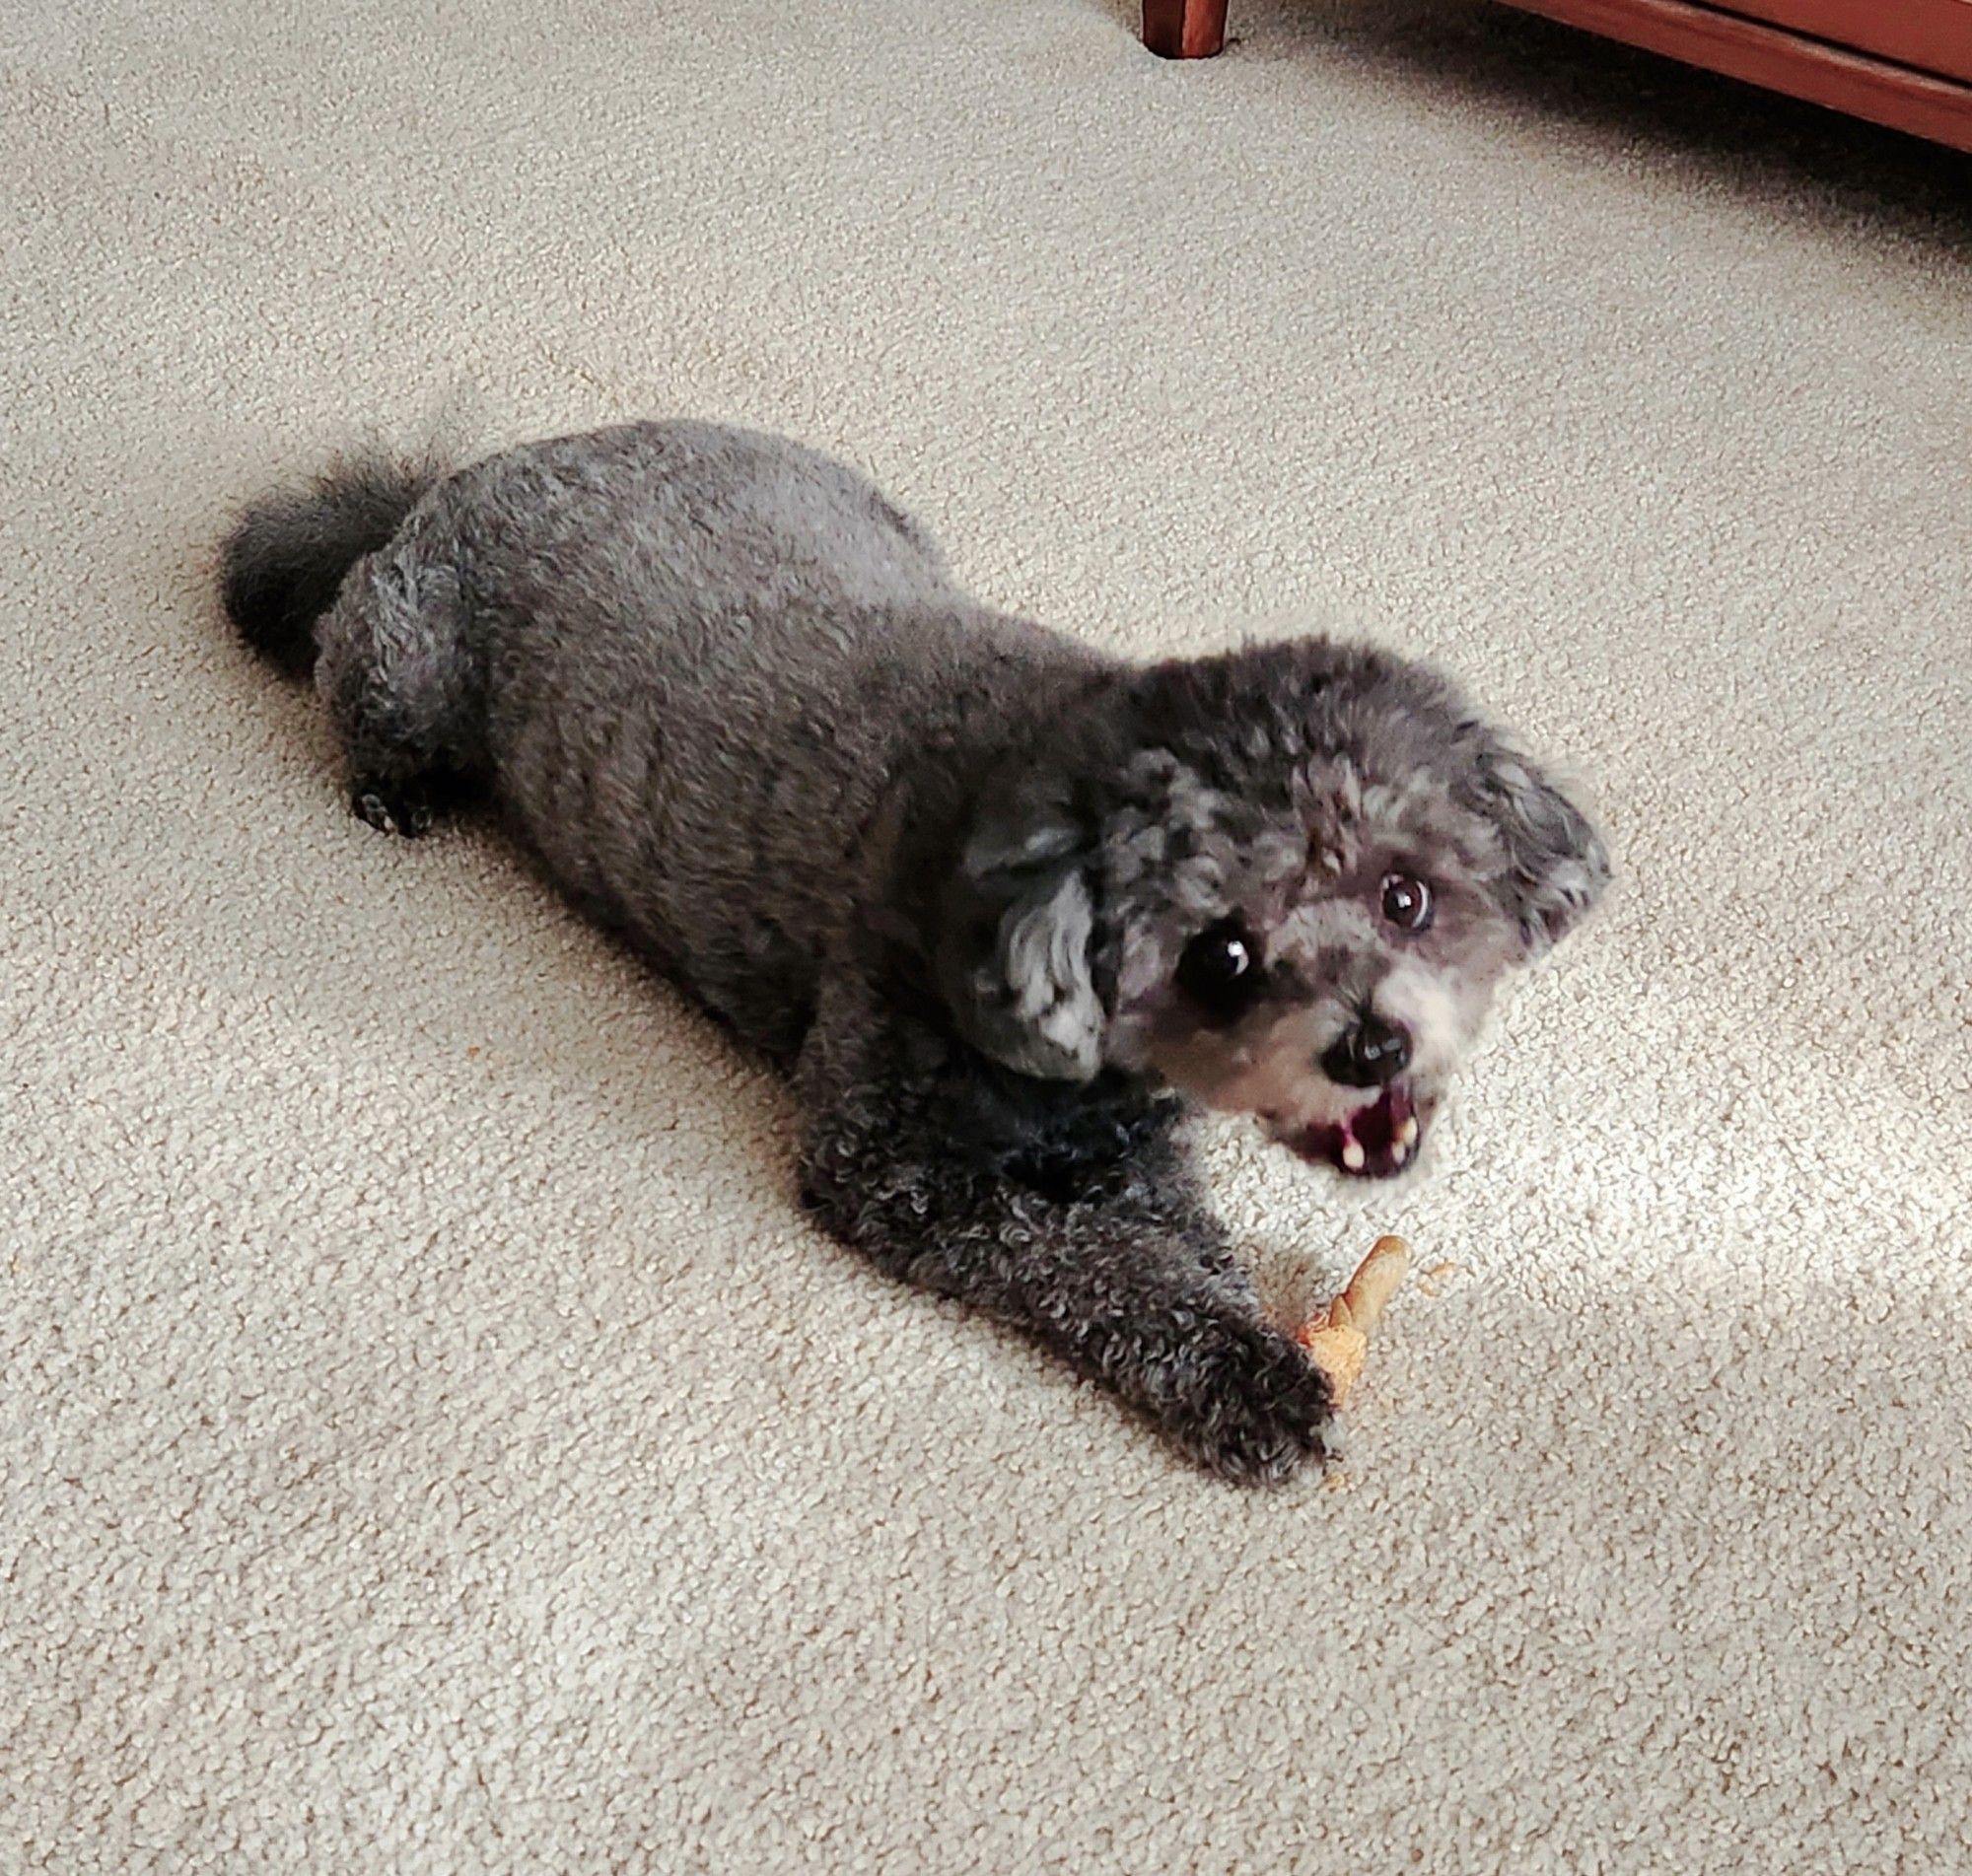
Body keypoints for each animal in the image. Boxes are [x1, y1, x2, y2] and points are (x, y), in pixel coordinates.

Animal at [224, 421, 1601, 1482]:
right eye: (1217, 952)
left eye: (1405, 893)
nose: (1374, 1045)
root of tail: (453, 476)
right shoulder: (898, 1170)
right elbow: (1094, 1266)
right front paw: (1240, 1375)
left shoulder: (1123, 1143)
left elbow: (1170, 1236)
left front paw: (1245, 1314)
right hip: (407, 662)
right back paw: (393, 790)